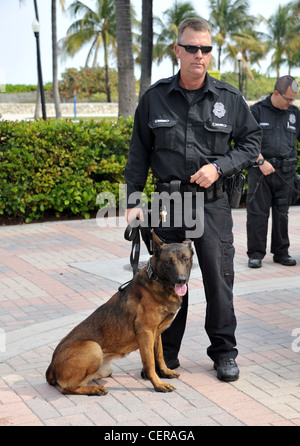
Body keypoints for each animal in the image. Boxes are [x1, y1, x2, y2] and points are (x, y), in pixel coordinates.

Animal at [45, 232, 193, 396]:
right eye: (168, 262)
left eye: (186, 259)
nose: (181, 280)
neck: (157, 280)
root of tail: (51, 368)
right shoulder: (146, 332)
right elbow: (149, 363)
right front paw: (158, 384)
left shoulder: (156, 334)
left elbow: (159, 355)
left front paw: (165, 372)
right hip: (93, 347)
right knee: (66, 388)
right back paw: (94, 389)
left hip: (104, 368)